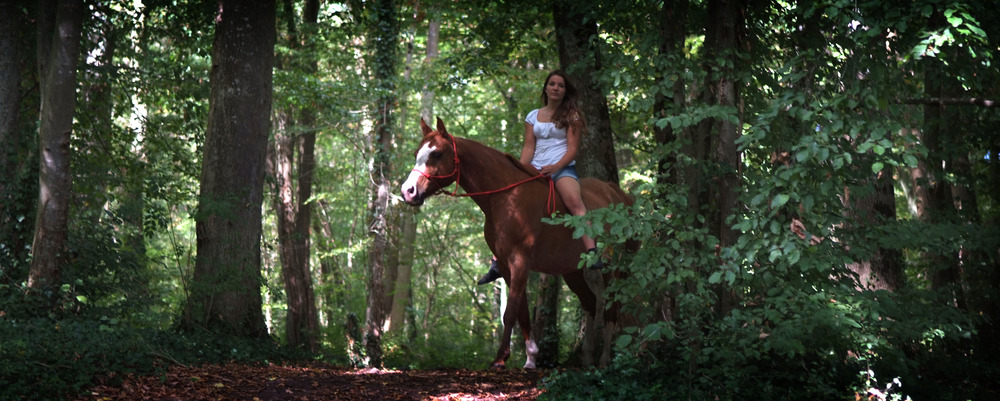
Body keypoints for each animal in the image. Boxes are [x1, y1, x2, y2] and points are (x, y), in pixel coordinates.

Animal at [400, 117, 628, 368]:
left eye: (437, 154)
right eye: (416, 153)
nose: (408, 191)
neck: (506, 198)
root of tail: (614, 193)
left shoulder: (520, 261)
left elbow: (510, 312)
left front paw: (501, 358)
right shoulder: (507, 265)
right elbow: (522, 312)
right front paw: (530, 359)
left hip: (610, 268)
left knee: (611, 308)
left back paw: (605, 360)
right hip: (572, 271)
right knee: (590, 303)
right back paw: (587, 358)